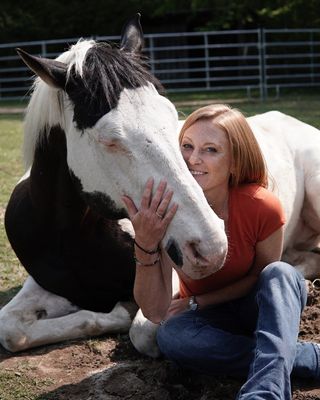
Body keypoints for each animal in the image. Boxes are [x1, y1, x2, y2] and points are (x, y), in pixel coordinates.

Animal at [0, 14, 228, 354]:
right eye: (110, 139)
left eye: (173, 117)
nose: (211, 248)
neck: (70, 236)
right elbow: (10, 329)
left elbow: (143, 330)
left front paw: (123, 310)